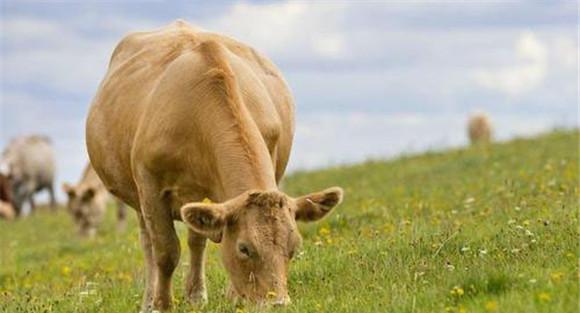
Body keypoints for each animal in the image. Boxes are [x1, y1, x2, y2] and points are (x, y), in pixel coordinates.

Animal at [86, 20, 344, 310]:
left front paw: (232, 296)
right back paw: (149, 302)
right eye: (244, 248)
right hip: (138, 197)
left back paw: (196, 296)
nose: (277, 304)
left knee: (196, 240)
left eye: (294, 247)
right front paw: (162, 305)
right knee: (148, 244)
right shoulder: (149, 185)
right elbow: (166, 251)